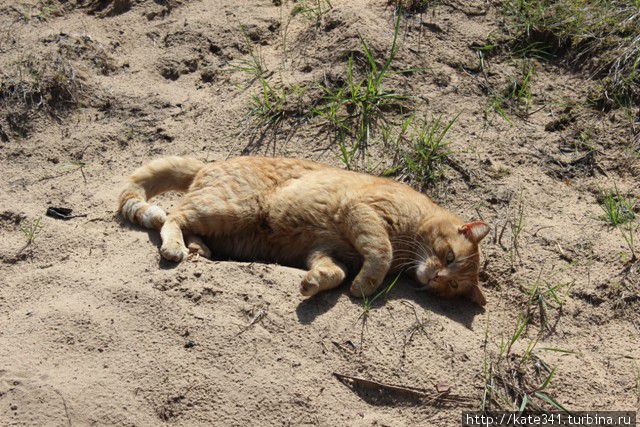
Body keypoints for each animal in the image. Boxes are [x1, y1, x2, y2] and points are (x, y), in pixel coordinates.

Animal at [120, 155, 490, 306]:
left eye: (452, 287)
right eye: (449, 256)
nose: (437, 278)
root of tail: (211, 163)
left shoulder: (326, 252)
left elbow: (335, 274)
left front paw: (315, 283)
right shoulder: (362, 211)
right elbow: (379, 253)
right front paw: (366, 286)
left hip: (226, 221)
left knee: (189, 222)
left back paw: (199, 249)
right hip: (232, 207)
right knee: (174, 214)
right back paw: (175, 247)